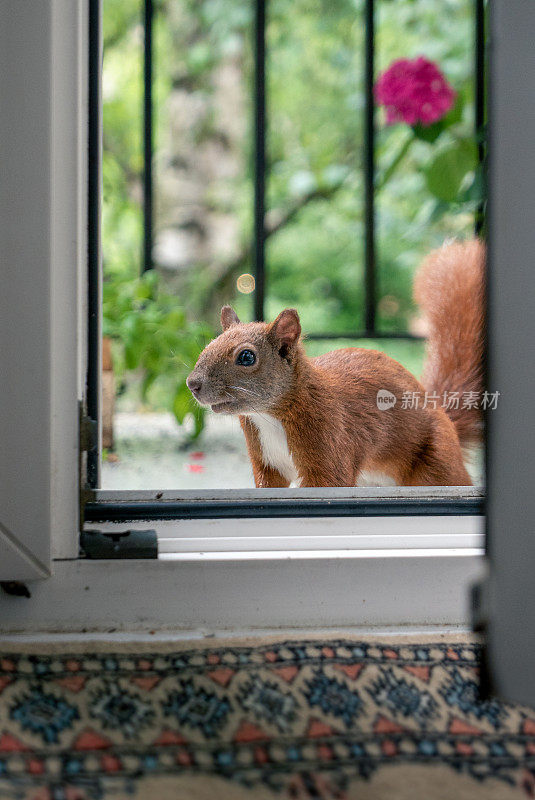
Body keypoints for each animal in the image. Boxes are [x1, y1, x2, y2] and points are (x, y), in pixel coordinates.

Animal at [188, 239, 486, 488]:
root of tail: (442, 412)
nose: (193, 384)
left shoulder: (331, 439)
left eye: (246, 357)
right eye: (208, 345)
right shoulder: (267, 462)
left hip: (437, 463)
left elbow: (329, 480)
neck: (268, 416)